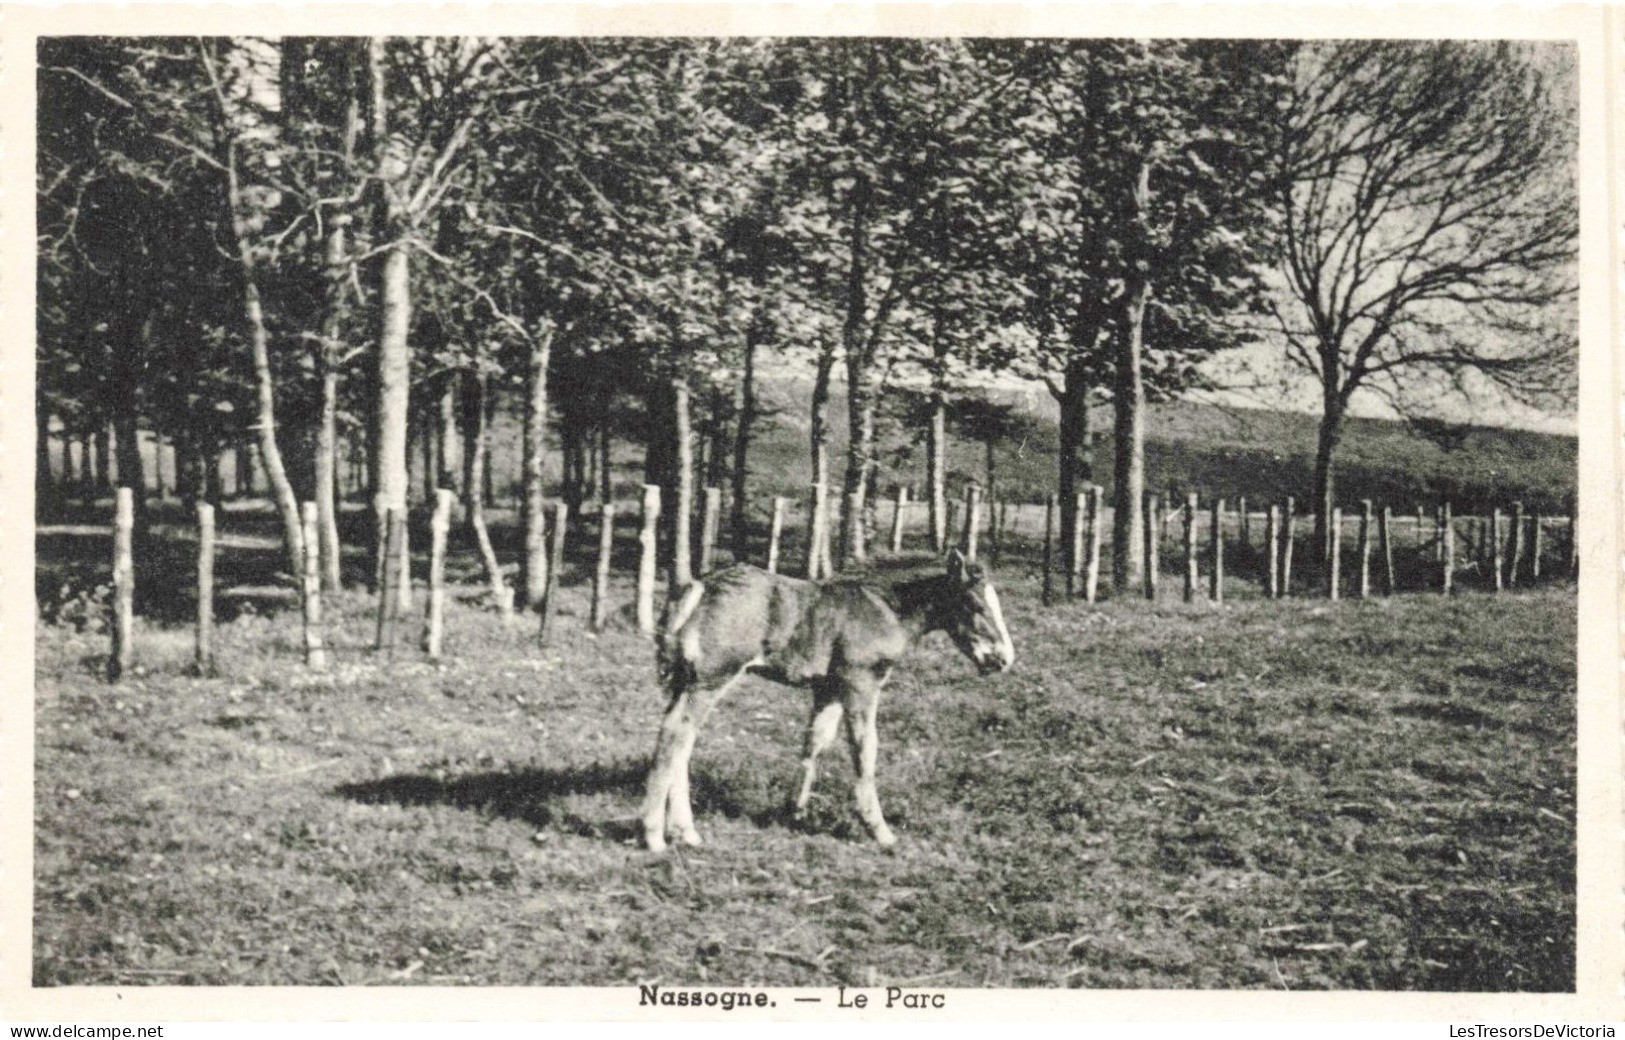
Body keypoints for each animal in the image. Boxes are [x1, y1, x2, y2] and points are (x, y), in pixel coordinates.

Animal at [640, 552, 1007, 851]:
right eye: (975, 605)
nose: (1003, 659)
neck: (885, 608)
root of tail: (699, 586)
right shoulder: (861, 683)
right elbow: (864, 747)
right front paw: (879, 830)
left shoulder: (828, 688)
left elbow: (815, 741)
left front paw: (795, 811)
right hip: (712, 678)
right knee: (675, 733)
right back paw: (654, 834)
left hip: (688, 680)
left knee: (682, 739)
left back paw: (685, 832)